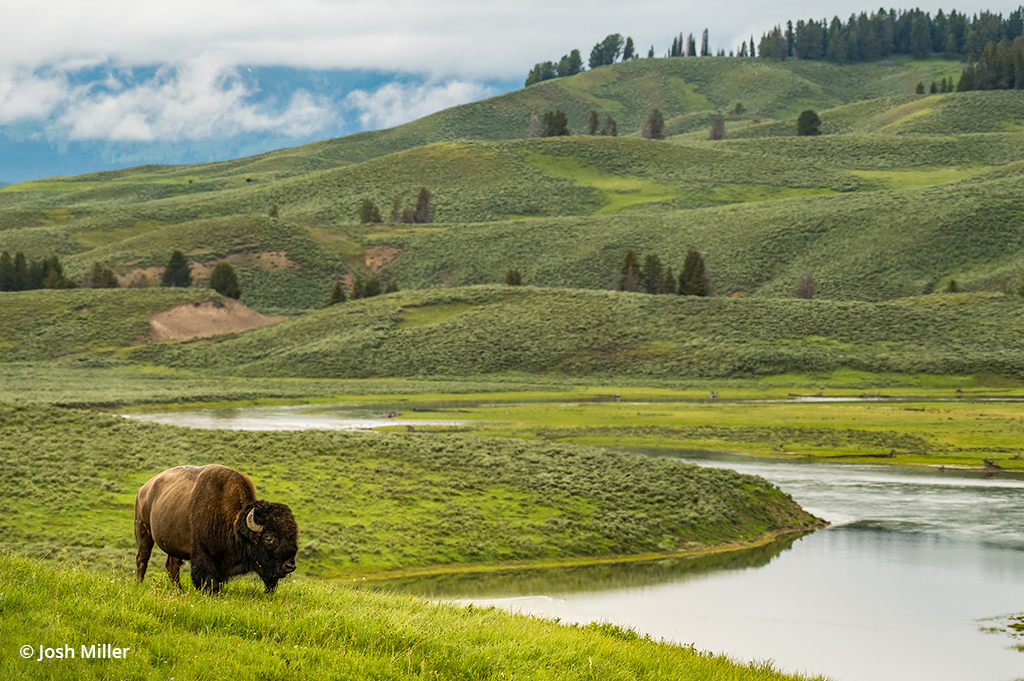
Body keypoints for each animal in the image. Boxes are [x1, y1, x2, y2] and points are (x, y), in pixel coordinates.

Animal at [134, 464, 299, 593]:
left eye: (294, 535)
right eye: (269, 538)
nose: (290, 565)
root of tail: (143, 489)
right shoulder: (203, 554)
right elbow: (209, 579)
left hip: (173, 545)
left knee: (172, 565)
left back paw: (178, 591)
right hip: (143, 532)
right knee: (142, 560)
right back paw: (139, 586)